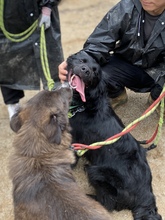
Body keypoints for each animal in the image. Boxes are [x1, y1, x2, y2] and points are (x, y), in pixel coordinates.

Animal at [66, 50, 161, 219]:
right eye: (82, 61)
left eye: (95, 72)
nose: (86, 70)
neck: (85, 103)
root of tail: (146, 197)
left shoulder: (75, 142)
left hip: (97, 172)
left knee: (108, 204)